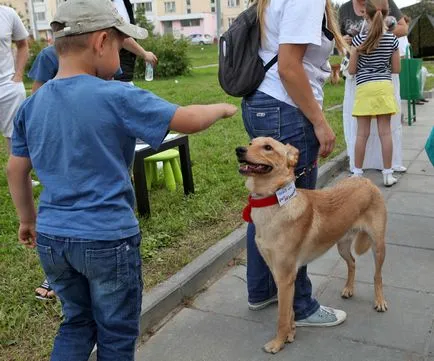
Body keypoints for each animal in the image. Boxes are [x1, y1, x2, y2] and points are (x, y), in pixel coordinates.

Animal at [236, 136, 388, 352]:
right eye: (250, 143)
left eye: (268, 147)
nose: (239, 150)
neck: (276, 201)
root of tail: (364, 180)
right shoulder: (278, 274)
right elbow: (289, 311)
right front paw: (290, 333)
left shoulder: (285, 276)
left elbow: (282, 316)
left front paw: (278, 342)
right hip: (342, 245)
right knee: (352, 263)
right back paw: (349, 289)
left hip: (378, 245)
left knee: (377, 276)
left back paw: (380, 301)